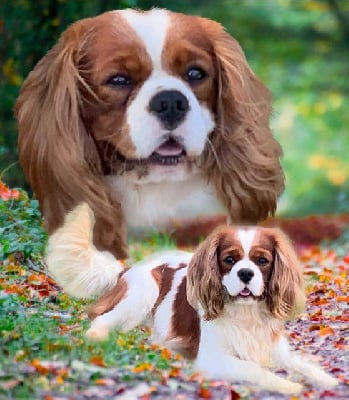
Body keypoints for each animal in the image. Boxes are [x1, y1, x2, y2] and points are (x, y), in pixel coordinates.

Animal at [46, 203, 338, 394]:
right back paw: (101, 337)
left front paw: (326, 379)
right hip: (143, 291)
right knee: (100, 319)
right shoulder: (212, 358)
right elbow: (256, 370)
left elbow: (301, 363)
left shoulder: (275, 348)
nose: (245, 273)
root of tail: (127, 269)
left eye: (262, 261)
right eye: (229, 260)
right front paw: (289, 385)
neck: (245, 313)